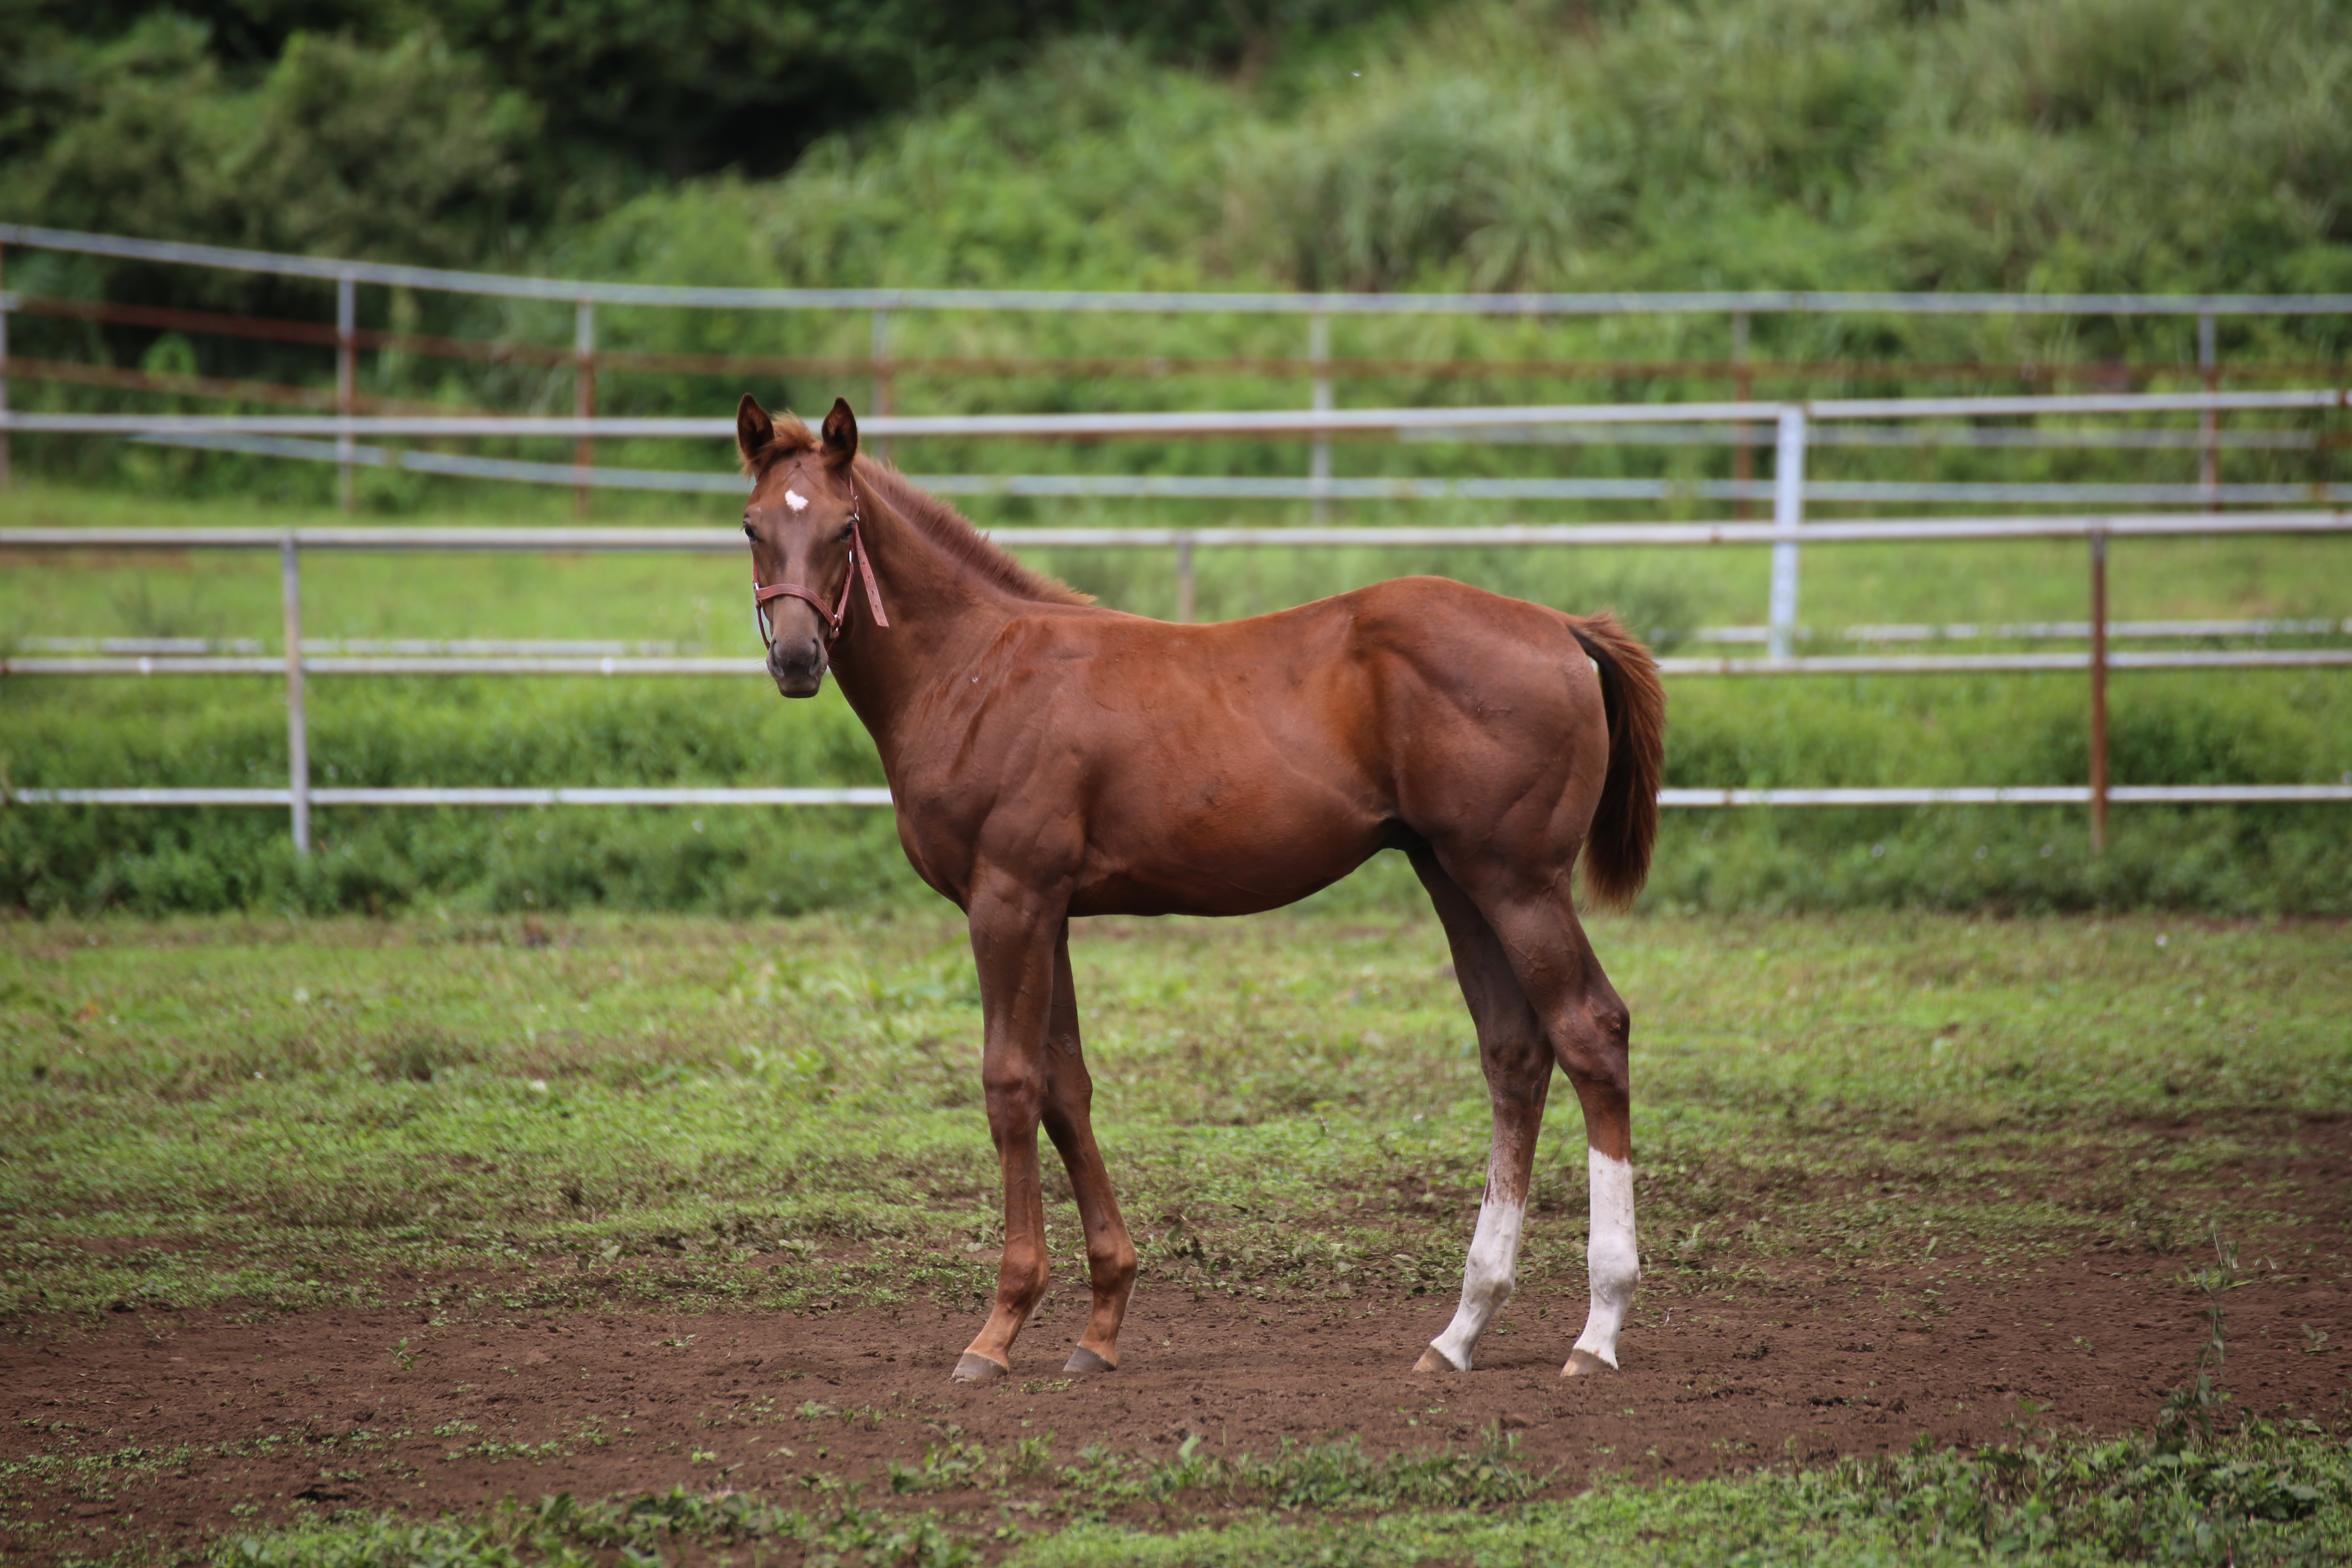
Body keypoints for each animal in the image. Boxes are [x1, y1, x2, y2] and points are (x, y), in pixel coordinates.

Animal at [743, 395, 1665, 1382]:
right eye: (753, 526)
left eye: (845, 528)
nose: (796, 659)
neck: (979, 667)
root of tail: (1561, 627)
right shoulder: (1051, 912)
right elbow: (1068, 1087)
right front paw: (1100, 1323)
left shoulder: (1008, 901)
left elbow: (1011, 1084)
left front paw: (999, 1328)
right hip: (1456, 878)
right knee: (1514, 1053)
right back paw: (1461, 1329)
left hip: (1519, 882)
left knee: (1592, 1032)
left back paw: (1598, 1329)